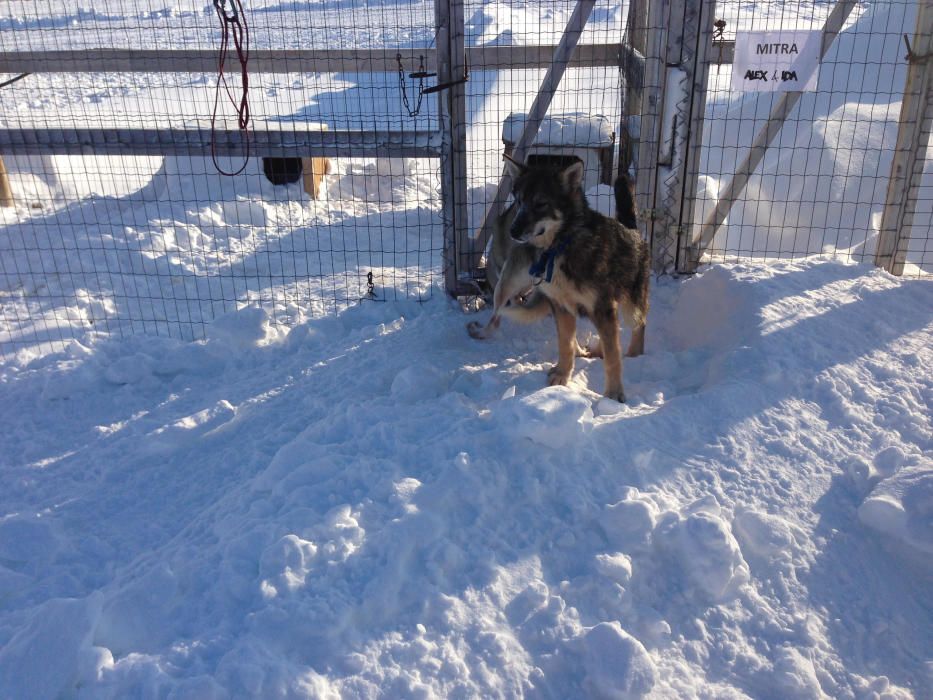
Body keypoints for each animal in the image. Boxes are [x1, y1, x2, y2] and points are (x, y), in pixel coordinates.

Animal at [474, 156, 648, 402]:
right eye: (519, 201)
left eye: (540, 204)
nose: (513, 231)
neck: (561, 247)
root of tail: (632, 230)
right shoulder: (561, 306)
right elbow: (565, 344)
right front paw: (562, 377)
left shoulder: (603, 308)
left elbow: (613, 357)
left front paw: (613, 394)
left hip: (630, 307)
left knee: (639, 325)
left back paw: (635, 354)